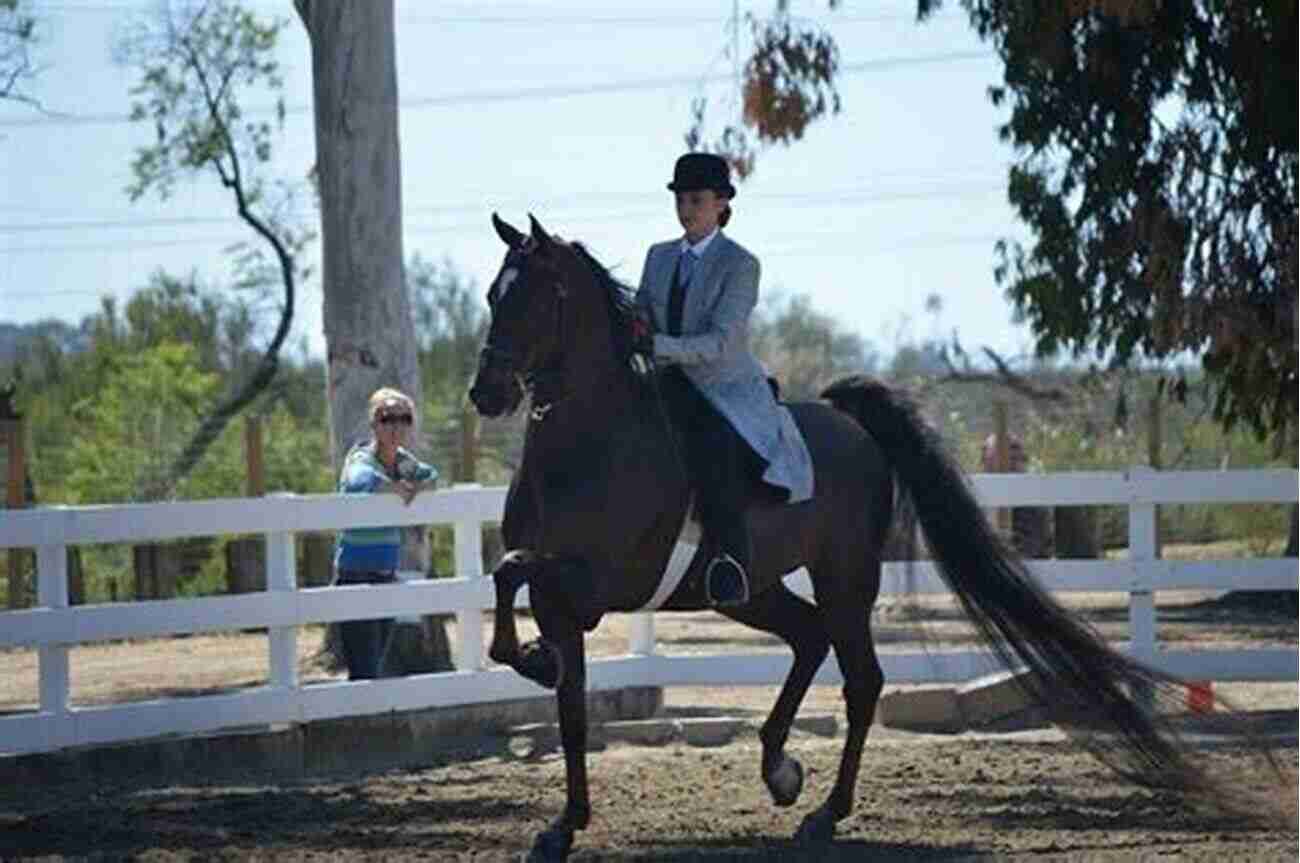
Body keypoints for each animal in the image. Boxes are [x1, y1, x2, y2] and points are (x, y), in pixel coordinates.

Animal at [467, 215, 1248, 863]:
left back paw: (824, 810)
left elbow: (512, 572)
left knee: (861, 678)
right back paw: (781, 771)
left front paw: (534, 664)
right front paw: (561, 819)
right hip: (750, 590)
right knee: (810, 637)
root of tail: (850, 421)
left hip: (844, 575)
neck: (586, 445)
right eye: (491, 295)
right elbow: (563, 698)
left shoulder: (602, 583)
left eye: (531, 298)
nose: (485, 394)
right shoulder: (565, 599)